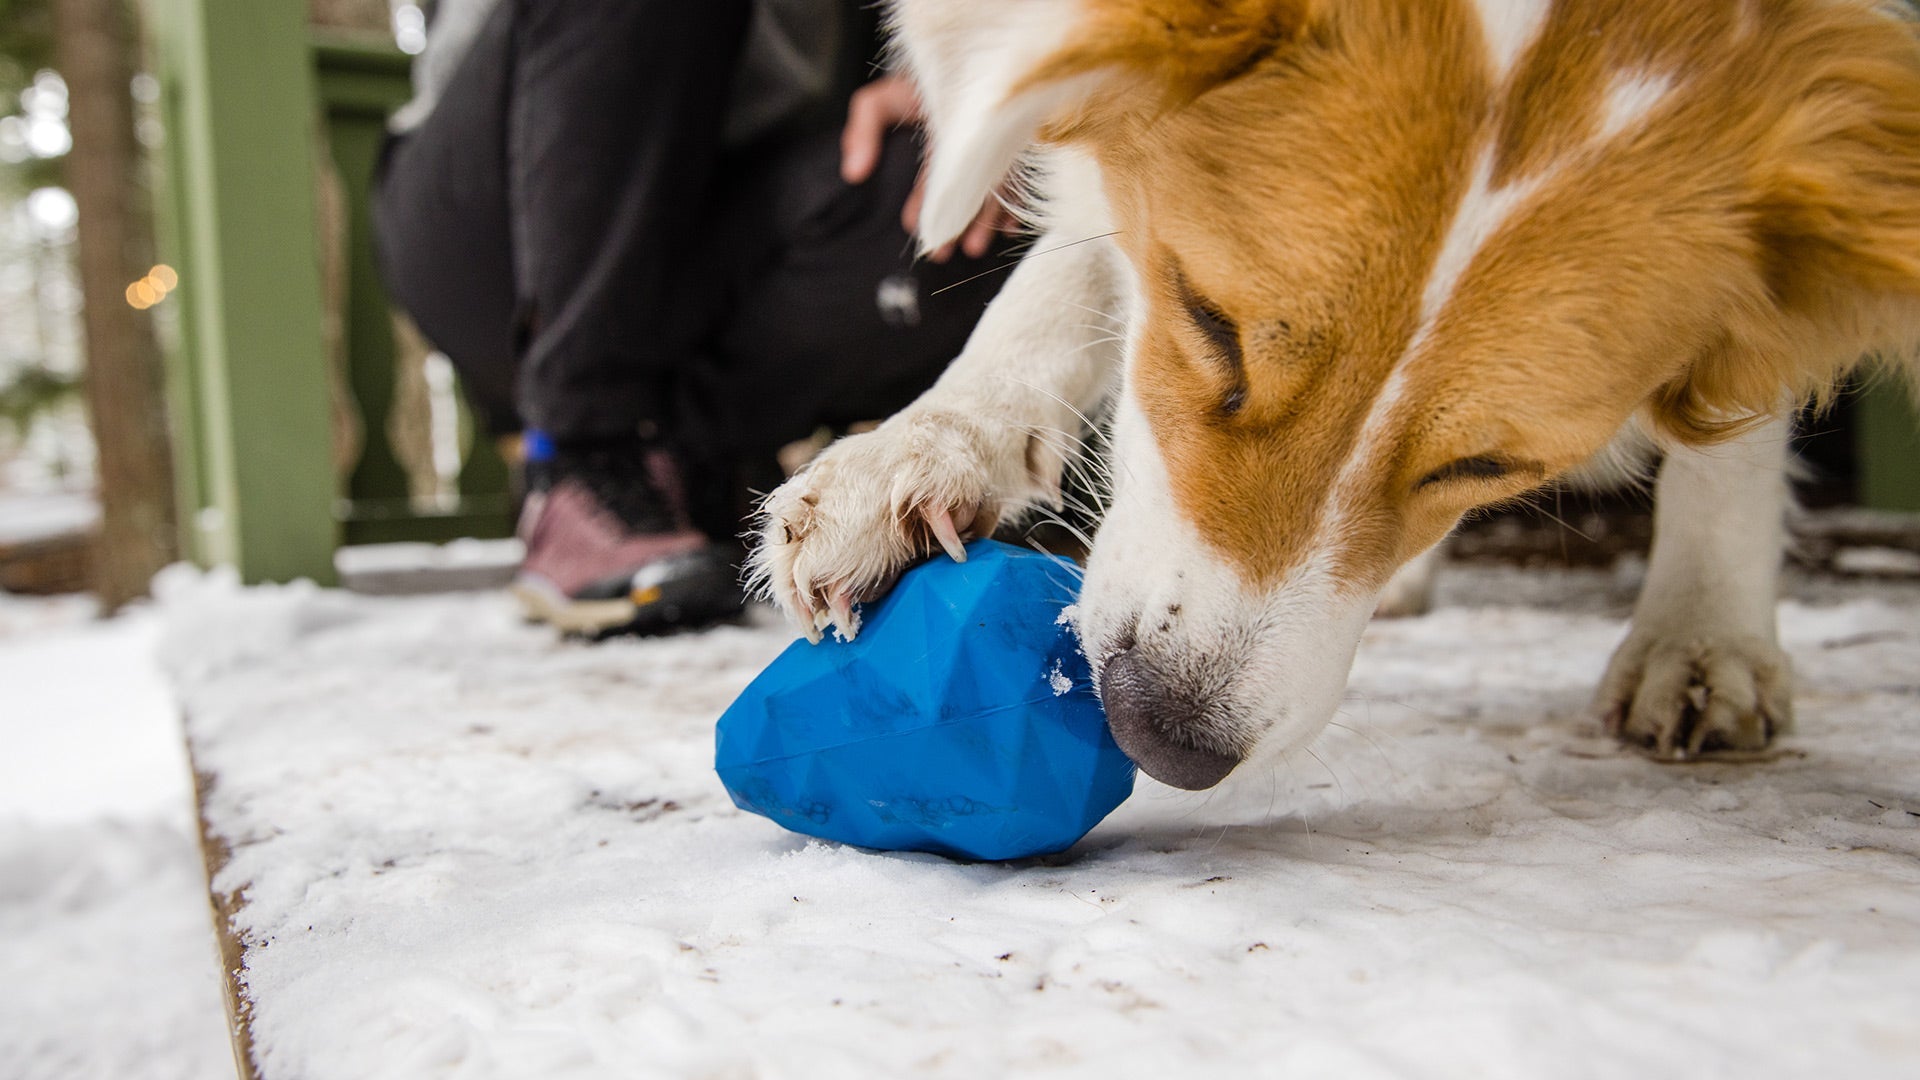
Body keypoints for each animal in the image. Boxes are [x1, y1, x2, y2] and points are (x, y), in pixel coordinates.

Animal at [744, 2, 1920, 791]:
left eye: (1488, 464)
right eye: (1210, 323)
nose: (1162, 736)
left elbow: (1740, 412)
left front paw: (1704, 630)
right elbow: (1082, 259)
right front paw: (920, 453)